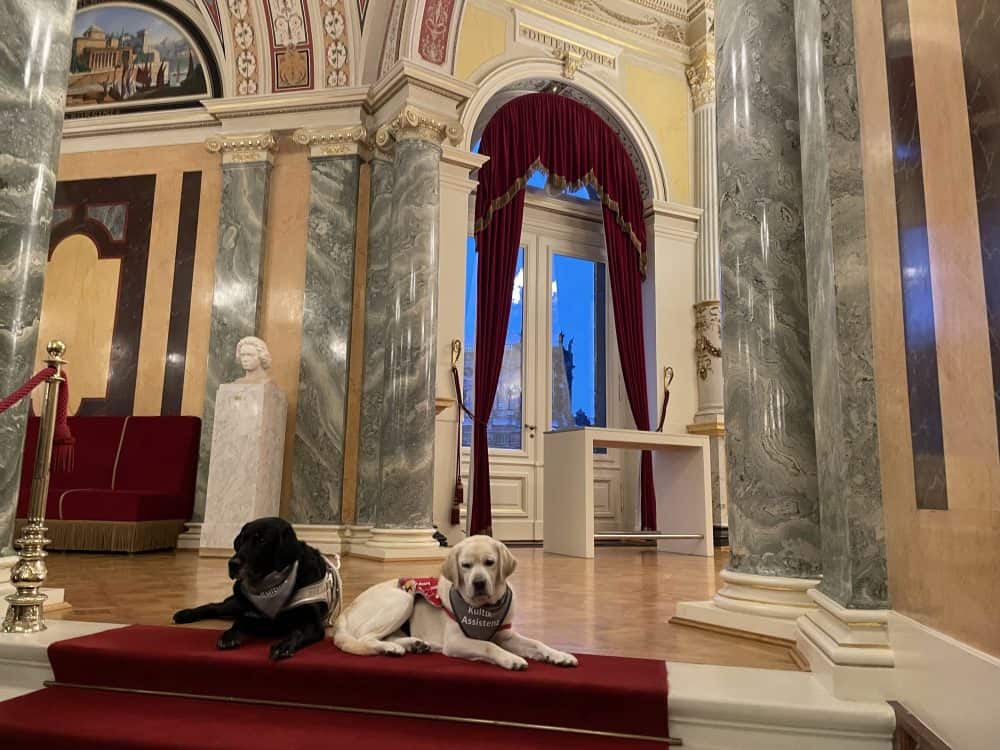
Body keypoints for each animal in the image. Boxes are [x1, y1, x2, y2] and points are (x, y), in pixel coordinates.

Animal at [172, 520, 340, 660]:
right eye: (242, 540)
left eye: (261, 540)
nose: (232, 564)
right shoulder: (259, 615)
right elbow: (241, 621)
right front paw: (229, 636)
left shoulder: (312, 623)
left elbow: (297, 632)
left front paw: (283, 645)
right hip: (238, 602)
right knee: (215, 606)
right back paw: (185, 614)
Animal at [332, 536, 576, 672]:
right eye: (465, 565)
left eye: (490, 562)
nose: (479, 583)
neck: (484, 608)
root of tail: (343, 615)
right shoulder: (456, 641)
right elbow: (487, 646)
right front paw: (511, 658)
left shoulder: (505, 635)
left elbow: (536, 643)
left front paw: (559, 655)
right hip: (403, 597)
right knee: (365, 638)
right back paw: (392, 648)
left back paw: (413, 644)